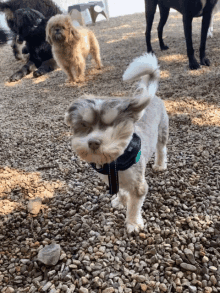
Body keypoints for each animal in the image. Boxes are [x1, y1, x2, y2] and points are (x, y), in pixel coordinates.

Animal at [64, 53, 169, 233]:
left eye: (113, 125)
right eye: (84, 125)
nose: (93, 142)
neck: (115, 163)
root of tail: (154, 97)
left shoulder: (139, 185)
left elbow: (134, 205)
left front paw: (133, 223)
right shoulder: (112, 179)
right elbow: (121, 192)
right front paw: (120, 201)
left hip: (162, 131)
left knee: (161, 149)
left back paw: (160, 165)